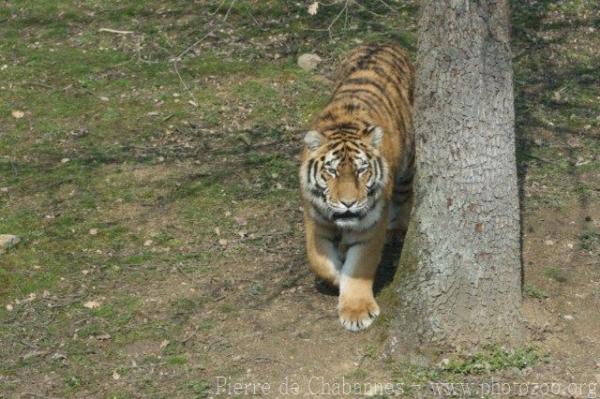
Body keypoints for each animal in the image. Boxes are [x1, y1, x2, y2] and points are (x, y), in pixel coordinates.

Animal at [298, 43, 414, 332]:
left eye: (362, 170)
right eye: (332, 171)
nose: (348, 203)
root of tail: (386, 42)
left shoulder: (369, 225)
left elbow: (359, 266)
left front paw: (357, 312)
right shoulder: (315, 220)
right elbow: (320, 262)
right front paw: (337, 275)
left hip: (408, 162)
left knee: (405, 196)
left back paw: (397, 230)